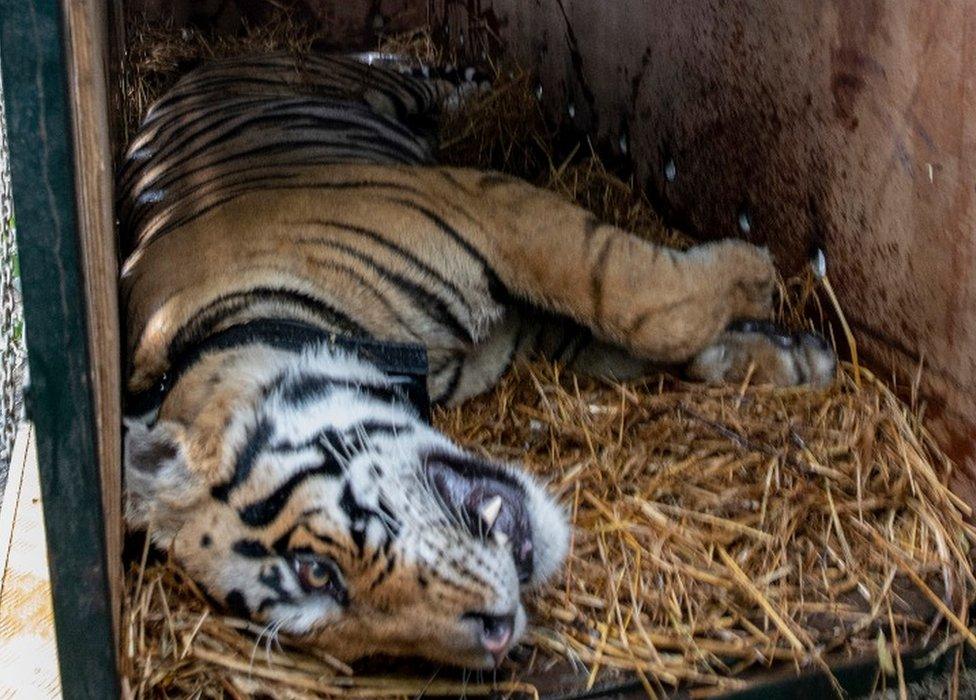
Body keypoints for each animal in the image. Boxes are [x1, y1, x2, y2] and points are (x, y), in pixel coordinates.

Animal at [120, 50, 840, 668]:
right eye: (326, 608)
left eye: (313, 567)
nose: (497, 633)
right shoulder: (526, 326)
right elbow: (640, 327)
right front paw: (784, 355)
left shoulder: (490, 206)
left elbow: (637, 298)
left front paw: (756, 273)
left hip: (373, 87)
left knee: (409, 74)